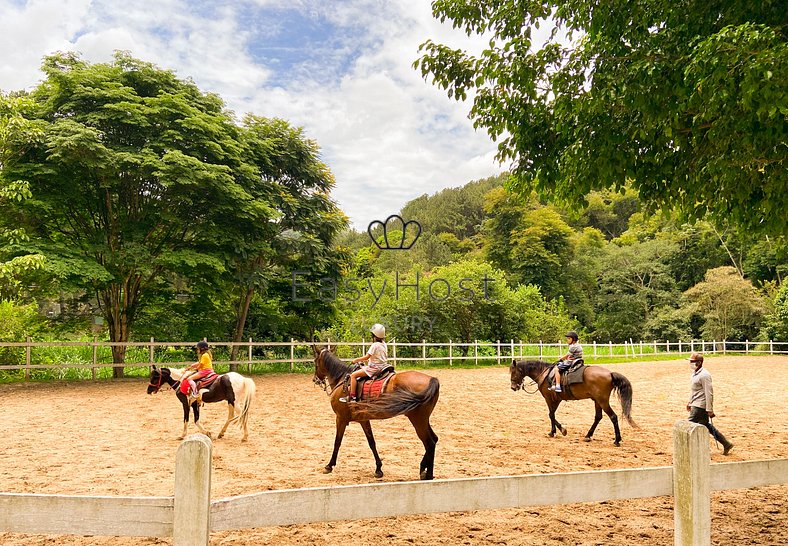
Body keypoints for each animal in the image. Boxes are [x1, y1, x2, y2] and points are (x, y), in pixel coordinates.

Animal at [310, 344, 440, 476]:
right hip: (423, 419)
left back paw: (428, 475)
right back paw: (423, 468)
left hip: (418, 419)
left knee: (429, 443)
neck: (342, 380)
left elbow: (337, 441)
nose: (315, 379)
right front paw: (378, 468)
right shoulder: (363, 419)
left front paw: (329, 465)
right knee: (434, 439)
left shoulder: (340, 418)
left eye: (315, 361)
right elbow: (371, 442)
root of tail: (432, 379)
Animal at [508, 360, 636, 444]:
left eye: (513, 372)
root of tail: (610, 373)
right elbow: (552, 415)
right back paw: (588, 436)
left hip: (602, 401)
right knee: (598, 417)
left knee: (613, 417)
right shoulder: (557, 399)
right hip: (597, 401)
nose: (513, 387)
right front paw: (556, 431)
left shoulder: (550, 399)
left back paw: (617, 440)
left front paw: (558, 431)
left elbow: (551, 415)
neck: (544, 373)